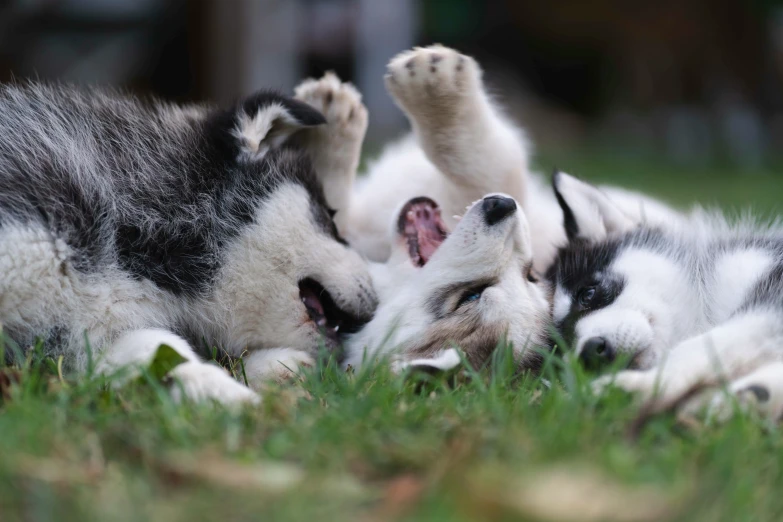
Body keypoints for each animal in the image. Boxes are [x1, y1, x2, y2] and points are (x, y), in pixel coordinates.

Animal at [548, 173, 783, 416]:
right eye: (557, 348)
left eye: (587, 294)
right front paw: (757, 394)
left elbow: (697, 346)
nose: (589, 353)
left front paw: (635, 387)